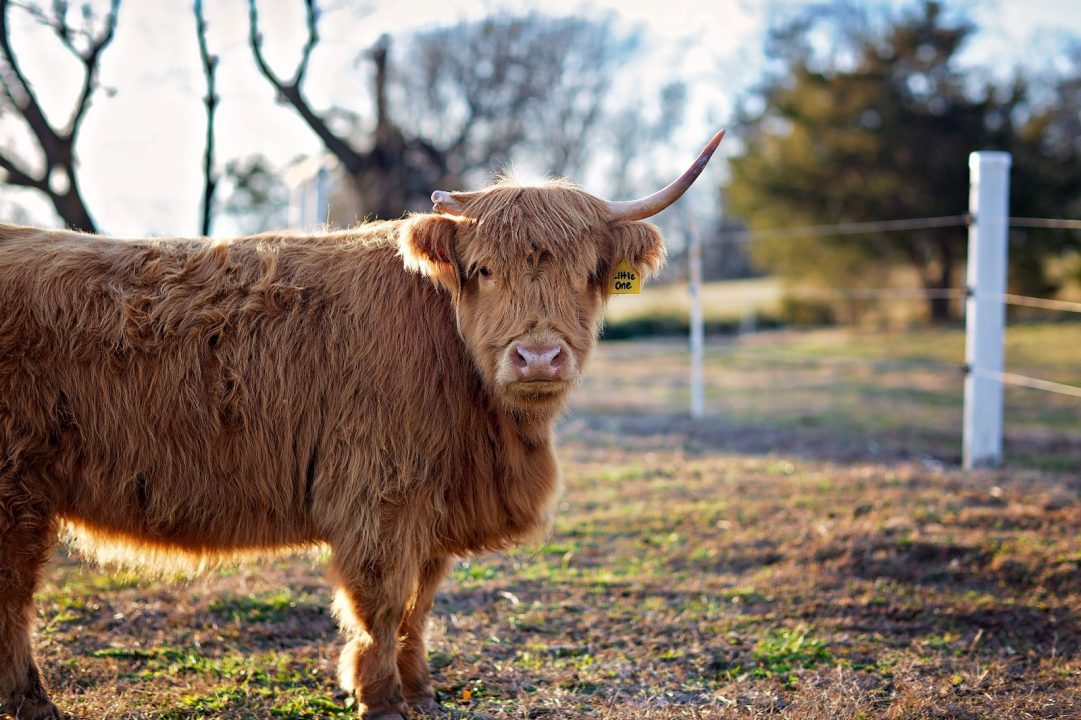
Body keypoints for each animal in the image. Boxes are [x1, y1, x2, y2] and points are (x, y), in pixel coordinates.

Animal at [0, 131, 723, 720]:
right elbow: (381, 602)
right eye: (484, 270)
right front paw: (377, 698)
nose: (539, 355)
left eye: (586, 274)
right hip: (16, 490)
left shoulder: (433, 505)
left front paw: (420, 691)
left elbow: (420, 606)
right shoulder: (381, 495)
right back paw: (34, 702)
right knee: (14, 595)